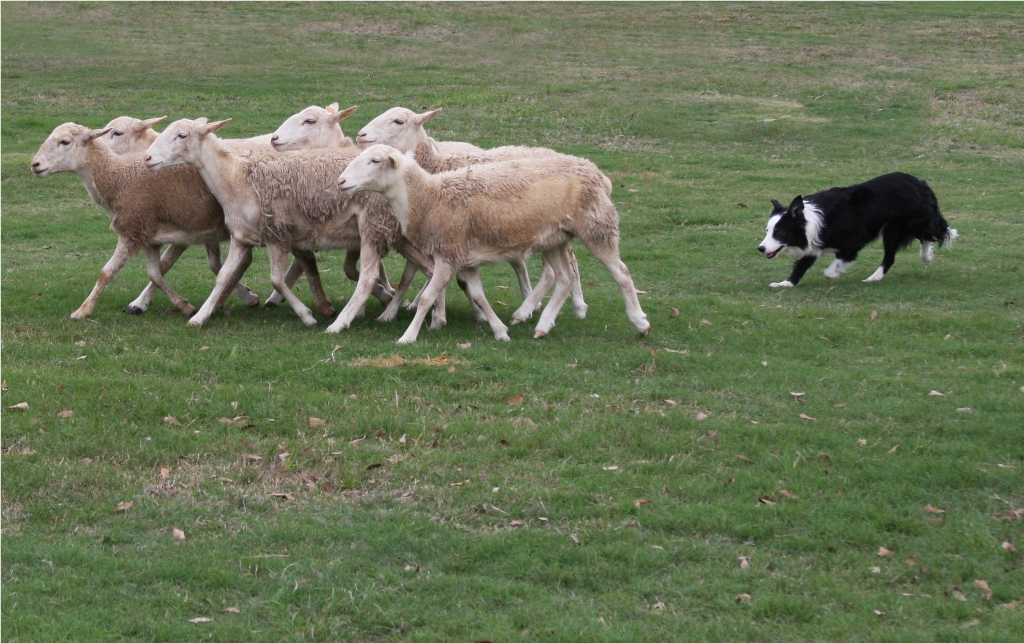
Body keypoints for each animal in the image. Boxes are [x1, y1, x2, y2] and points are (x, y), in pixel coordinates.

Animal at [143, 118, 403, 328]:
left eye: (182, 135)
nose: (147, 158)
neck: (236, 179)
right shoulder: (241, 237)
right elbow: (223, 276)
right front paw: (199, 317)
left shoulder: (277, 235)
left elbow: (276, 280)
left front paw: (306, 315)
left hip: (373, 222)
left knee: (368, 276)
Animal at [335, 145, 650, 344]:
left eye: (375, 161)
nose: (341, 181)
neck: (429, 197)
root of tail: (599, 174)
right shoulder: (463, 258)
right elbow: (477, 295)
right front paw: (499, 330)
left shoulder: (448, 253)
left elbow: (427, 298)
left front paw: (408, 336)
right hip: (555, 238)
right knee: (565, 277)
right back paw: (542, 325)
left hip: (596, 226)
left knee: (621, 273)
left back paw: (640, 322)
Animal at [355, 107, 591, 322]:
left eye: (398, 121)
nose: (361, 135)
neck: (435, 167)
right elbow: (409, 275)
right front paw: (399, 308)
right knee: (567, 261)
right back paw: (571, 305)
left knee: (552, 270)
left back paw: (536, 307)